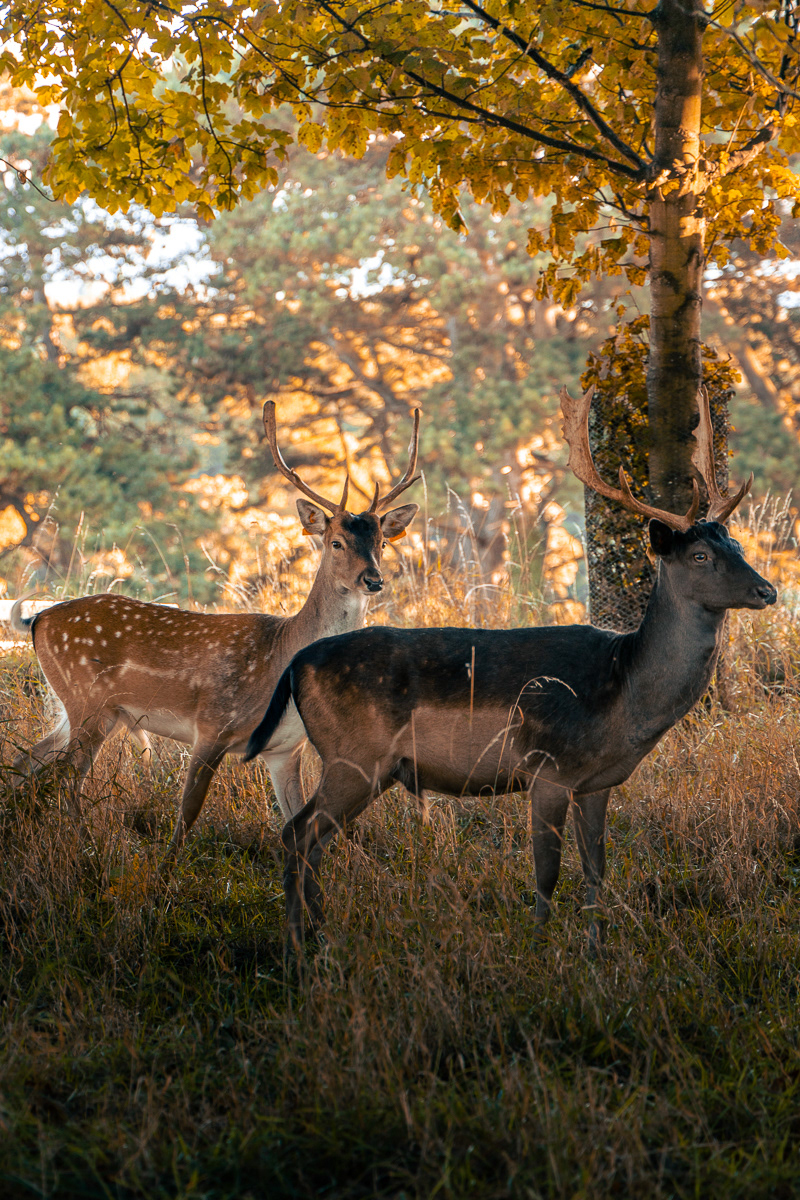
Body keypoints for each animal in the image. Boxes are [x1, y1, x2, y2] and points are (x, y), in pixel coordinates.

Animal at [10, 402, 421, 860]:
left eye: (382, 542)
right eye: (336, 542)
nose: (373, 579)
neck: (282, 657)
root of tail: (39, 619)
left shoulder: (285, 749)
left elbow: (298, 822)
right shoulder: (212, 724)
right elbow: (187, 815)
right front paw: (166, 871)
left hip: (87, 710)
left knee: (26, 762)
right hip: (88, 701)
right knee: (67, 777)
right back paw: (87, 851)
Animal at [245, 387, 777, 954]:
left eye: (736, 545)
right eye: (698, 555)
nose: (767, 589)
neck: (624, 690)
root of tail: (297, 663)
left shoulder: (596, 782)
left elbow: (596, 869)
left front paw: (596, 950)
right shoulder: (548, 769)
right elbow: (547, 873)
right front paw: (541, 950)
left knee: (308, 838)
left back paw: (316, 937)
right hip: (353, 756)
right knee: (296, 833)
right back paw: (298, 946)